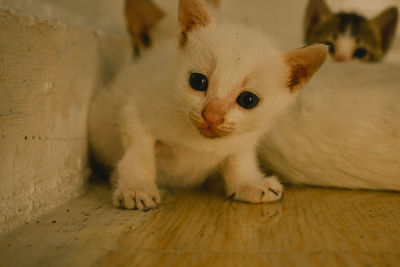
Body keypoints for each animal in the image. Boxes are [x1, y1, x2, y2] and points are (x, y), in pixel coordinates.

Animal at [90, 0, 328, 210]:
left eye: (248, 100)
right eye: (198, 81)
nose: (212, 115)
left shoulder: (245, 139)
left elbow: (238, 160)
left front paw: (248, 183)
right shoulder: (136, 113)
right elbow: (139, 153)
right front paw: (136, 187)